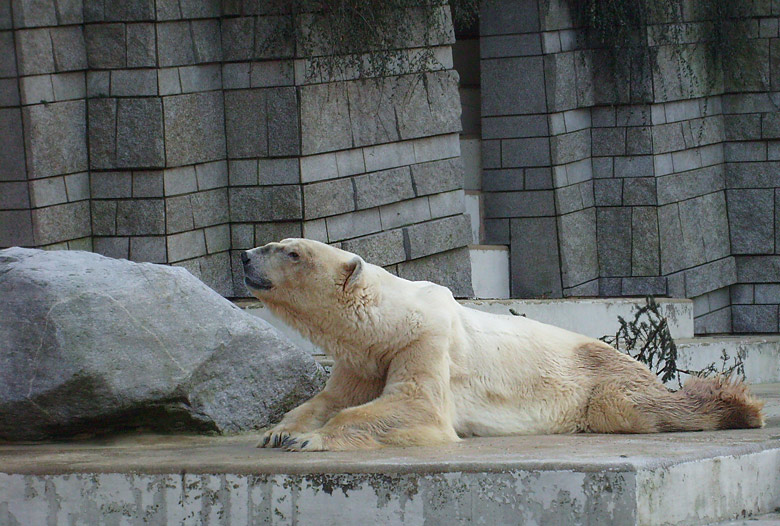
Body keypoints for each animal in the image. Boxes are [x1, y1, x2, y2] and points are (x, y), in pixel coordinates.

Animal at [242, 241, 760, 452]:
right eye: (274, 242)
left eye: (291, 251)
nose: (245, 256)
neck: (394, 320)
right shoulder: (363, 359)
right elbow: (329, 399)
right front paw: (279, 432)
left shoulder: (425, 340)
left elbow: (417, 405)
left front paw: (308, 439)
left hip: (600, 377)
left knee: (634, 407)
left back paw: (737, 406)